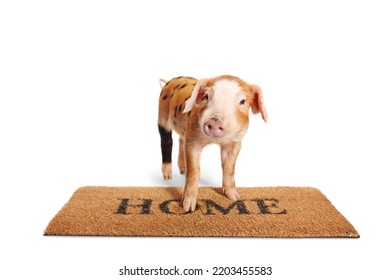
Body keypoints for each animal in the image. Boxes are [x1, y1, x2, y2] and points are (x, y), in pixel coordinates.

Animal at [157, 75, 266, 211]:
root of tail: (170, 82)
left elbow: (229, 169)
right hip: (162, 115)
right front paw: (188, 208)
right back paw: (167, 177)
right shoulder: (192, 139)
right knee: (166, 143)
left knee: (181, 140)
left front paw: (235, 198)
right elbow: (194, 171)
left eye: (242, 101)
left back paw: (182, 170)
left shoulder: (235, 143)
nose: (215, 120)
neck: (215, 141)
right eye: (206, 96)